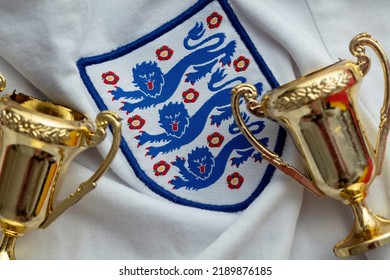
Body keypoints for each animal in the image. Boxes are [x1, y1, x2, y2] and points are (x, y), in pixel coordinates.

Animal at [108, 21, 236, 114]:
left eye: (151, 74)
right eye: (142, 77)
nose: (148, 80)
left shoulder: (157, 97)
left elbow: (142, 102)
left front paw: (130, 106)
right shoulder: (146, 93)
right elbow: (135, 93)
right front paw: (120, 93)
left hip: (201, 58)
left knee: (218, 53)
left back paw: (228, 50)